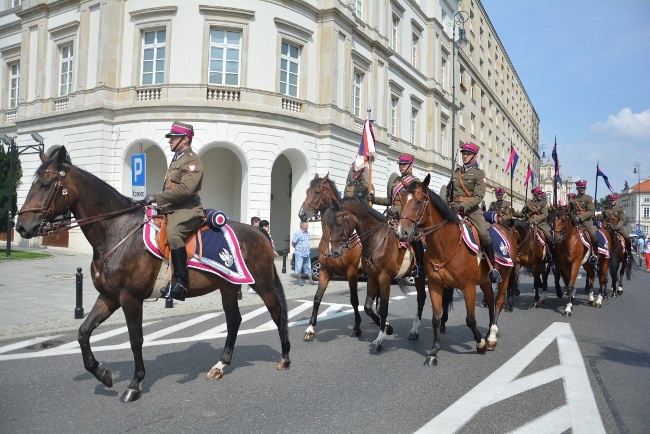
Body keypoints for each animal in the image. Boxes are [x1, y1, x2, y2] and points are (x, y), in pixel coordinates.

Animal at [13, 147, 288, 402]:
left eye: (45, 184)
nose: (22, 227)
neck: (118, 230)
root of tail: (260, 232)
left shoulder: (130, 299)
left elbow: (135, 340)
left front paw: (134, 384)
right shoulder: (109, 297)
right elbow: (83, 332)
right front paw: (102, 373)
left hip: (262, 284)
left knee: (277, 314)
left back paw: (285, 357)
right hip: (229, 286)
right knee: (234, 320)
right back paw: (220, 365)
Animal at [298, 173, 368, 340]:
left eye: (317, 192)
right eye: (307, 191)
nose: (302, 214)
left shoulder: (351, 272)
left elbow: (354, 300)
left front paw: (357, 327)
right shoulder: (325, 271)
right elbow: (317, 297)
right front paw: (310, 328)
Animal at [322, 198, 426, 354]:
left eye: (339, 223)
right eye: (328, 224)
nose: (333, 252)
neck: (378, 240)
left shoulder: (384, 278)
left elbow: (383, 309)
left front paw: (379, 339)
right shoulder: (372, 277)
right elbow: (368, 307)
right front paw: (388, 327)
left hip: (421, 277)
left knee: (422, 298)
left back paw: (416, 330)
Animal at [394, 175, 516, 364]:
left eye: (419, 201)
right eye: (402, 200)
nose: (402, 233)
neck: (446, 245)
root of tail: (505, 228)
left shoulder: (468, 287)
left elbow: (470, 319)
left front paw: (480, 344)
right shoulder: (435, 285)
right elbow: (436, 319)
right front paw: (434, 352)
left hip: (505, 276)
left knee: (498, 302)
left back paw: (491, 337)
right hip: (485, 280)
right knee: (490, 300)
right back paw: (489, 333)